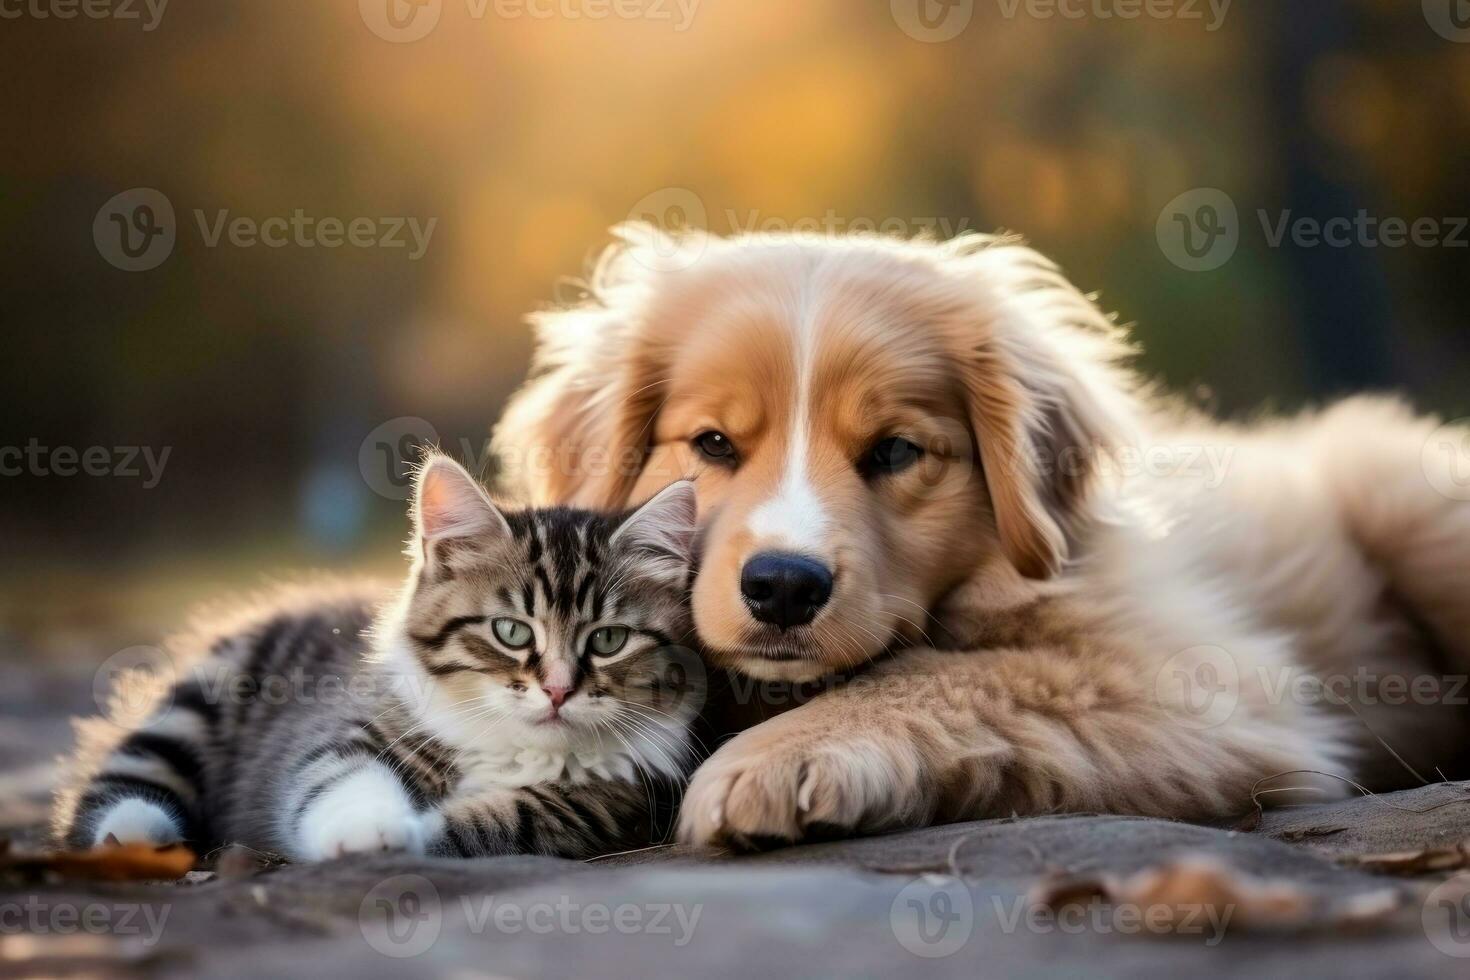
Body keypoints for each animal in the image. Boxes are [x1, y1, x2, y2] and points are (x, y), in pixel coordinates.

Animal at [55, 455, 699, 863]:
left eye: (608, 640)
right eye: (511, 631)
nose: (560, 690)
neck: (513, 748)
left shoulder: (603, 806)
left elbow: (499, 820)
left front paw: (418, 831)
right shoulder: (355, 727)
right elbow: (340, 776)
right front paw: (370, 832)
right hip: (202, 692)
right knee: (120, 775)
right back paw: (135, 832)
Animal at [493, 226, 1470, 846]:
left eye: (894, 451)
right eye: (713, 444)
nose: (782, 587)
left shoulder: (1197, 676)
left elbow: (951, 673)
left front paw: (779, 756)